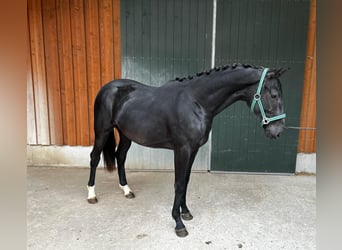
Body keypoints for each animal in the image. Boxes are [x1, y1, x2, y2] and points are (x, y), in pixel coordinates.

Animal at [87, 63, 288, 237]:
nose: (277, 132)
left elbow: (186, 180)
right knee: (94, 157)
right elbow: (178, 183)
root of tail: (108, 87)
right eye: (274, 95)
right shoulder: (182, 150)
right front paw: (178, 223)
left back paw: (127, 190)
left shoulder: (194, 149)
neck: (196, 101)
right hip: (102, 131)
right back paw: (91, 195)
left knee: (120, 156)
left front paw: (185, 212)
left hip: (126, 134)